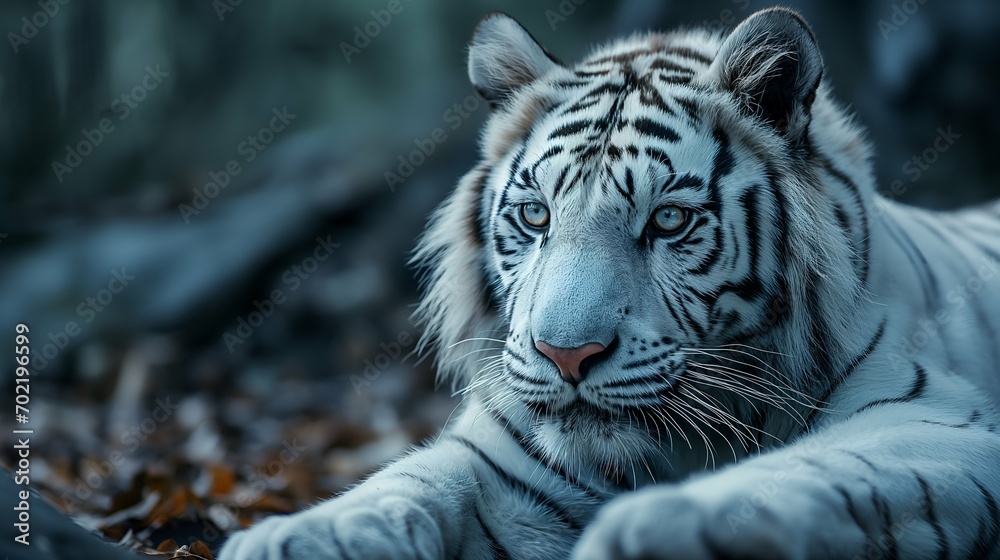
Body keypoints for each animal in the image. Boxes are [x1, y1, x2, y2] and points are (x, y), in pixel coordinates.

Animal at [220, 7, 1000, 560]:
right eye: (536, 214)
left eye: (670, 220)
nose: (566, 356)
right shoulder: (505, 463)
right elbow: (407, 482)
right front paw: (288, 537)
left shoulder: (933, 420)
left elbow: (804, 471)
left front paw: (662, 525)